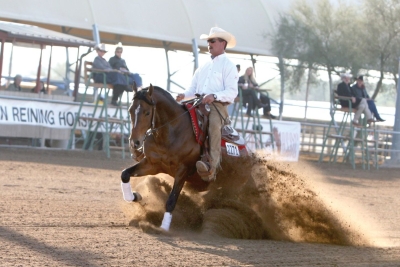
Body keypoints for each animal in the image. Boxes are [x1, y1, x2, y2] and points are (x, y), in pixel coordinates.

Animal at [120, 84, 250, 232]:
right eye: (130, 110)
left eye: (147, 112)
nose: (134, 142)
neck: (171, 132)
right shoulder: (151, 164)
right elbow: (125, 174)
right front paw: (135, 196)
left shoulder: (182, 171)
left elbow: (171, 200)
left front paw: (164, 228)